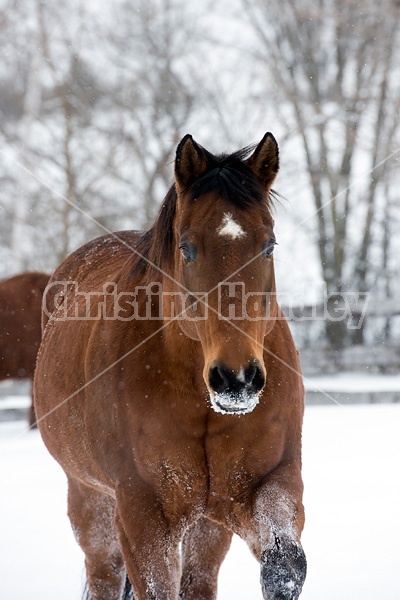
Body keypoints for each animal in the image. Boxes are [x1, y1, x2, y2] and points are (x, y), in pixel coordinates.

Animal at [35, 134, 310, 596]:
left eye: (269, 244)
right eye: (187, 247)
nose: (236, 379)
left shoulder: (270, 483)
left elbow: (285, 568)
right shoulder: (143, 515)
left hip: (206, 525)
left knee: (198, 580)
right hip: (91, 503)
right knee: (105, 574)